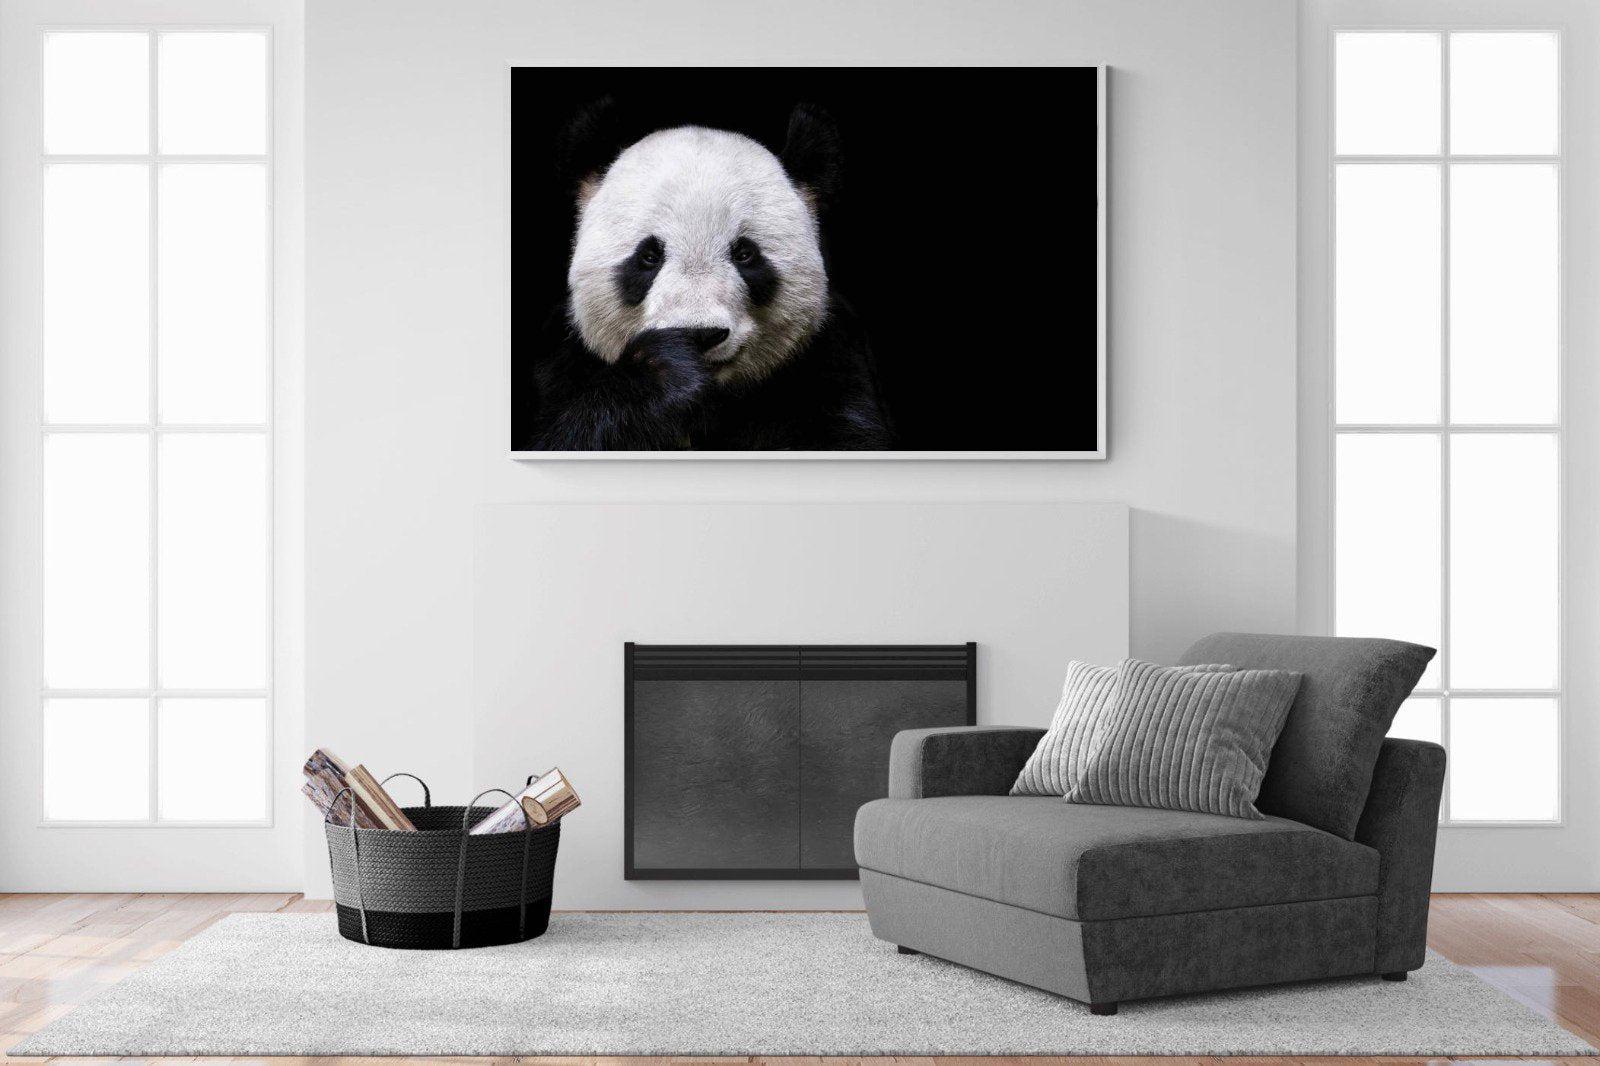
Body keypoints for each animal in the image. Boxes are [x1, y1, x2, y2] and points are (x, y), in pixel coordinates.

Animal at [521, 101, 894, 451]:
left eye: (745, 254)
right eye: (649, 257)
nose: (700, 334)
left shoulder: (831, 364)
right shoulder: (561, 363)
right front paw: (662, 372)